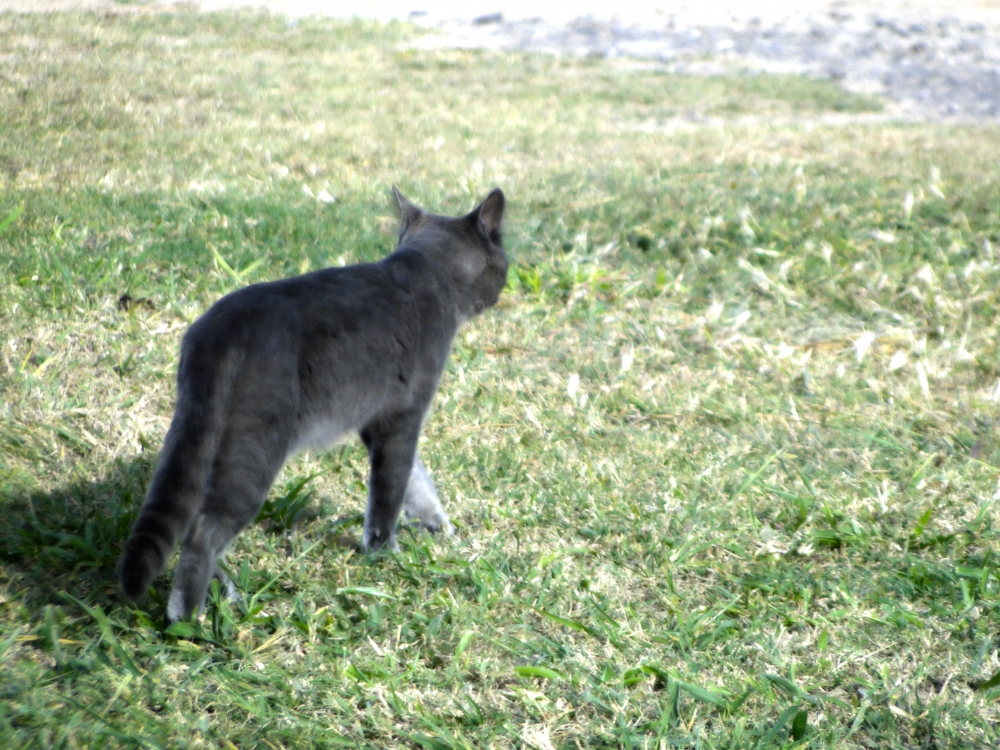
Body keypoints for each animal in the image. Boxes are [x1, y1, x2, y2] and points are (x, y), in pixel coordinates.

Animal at [120, 187, 508, 624]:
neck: (427, 269)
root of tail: (218, 333)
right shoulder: (403, 413)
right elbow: (391, 488)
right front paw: (383, 552)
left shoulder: (374, 420)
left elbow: (416, 479)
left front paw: (437, 525)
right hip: (255, 445)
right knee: (203, 532)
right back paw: (188, 619)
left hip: (195, 436)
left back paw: (226, 594)